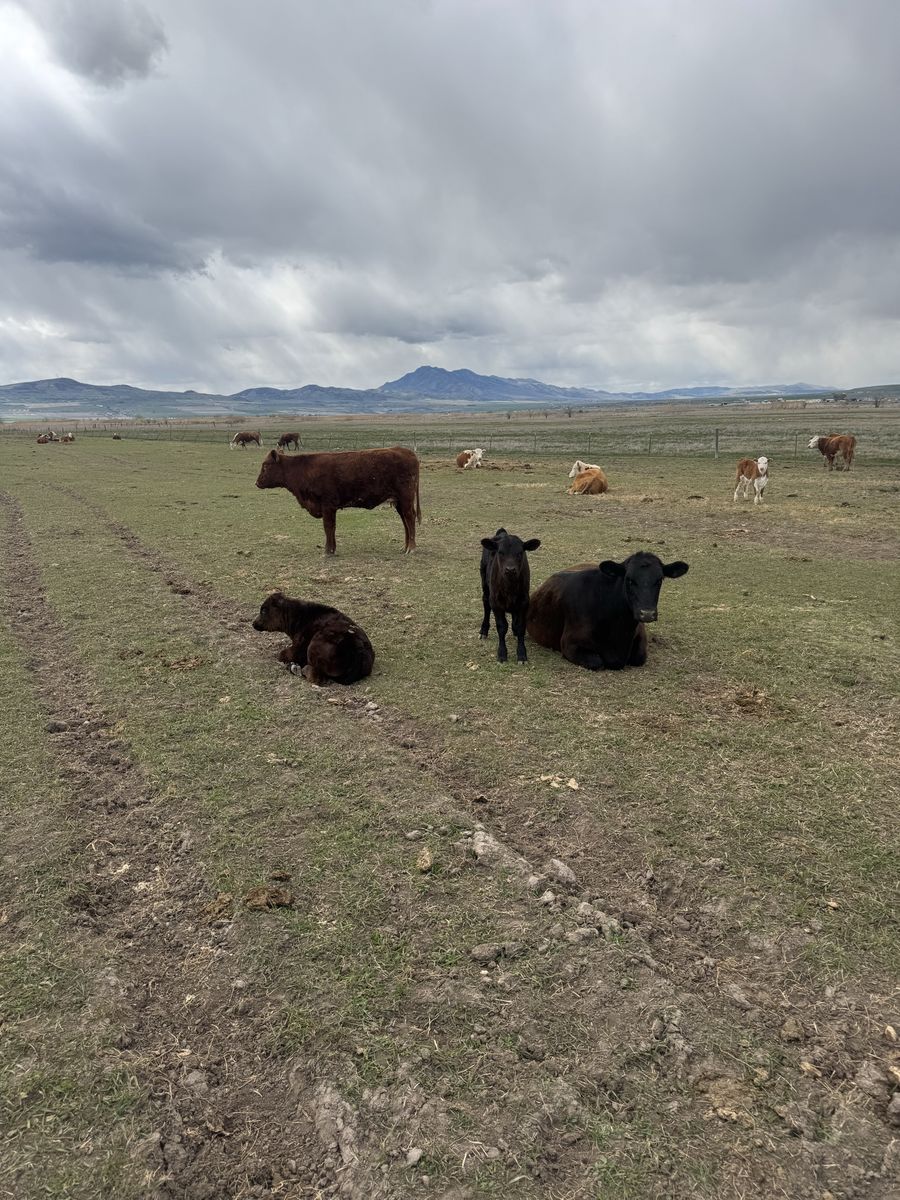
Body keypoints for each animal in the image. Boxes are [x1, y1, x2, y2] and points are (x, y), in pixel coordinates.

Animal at [256, 446, 421, 555]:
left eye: (266, 465)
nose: (257, 483)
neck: (303, 469)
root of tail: (406, 451)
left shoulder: (327, 506)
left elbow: (328, 527)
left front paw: (328, 550)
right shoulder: (330, 508)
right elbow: (332, 528)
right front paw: (332, 548)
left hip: (405, 499)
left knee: (409, 518)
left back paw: (411, 548)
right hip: (399, 502)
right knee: (405, 522)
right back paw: (405, 547)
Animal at [479, 528, 541, 664]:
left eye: (520, 553)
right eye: (500, 552)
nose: (510, 569)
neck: (510, 587)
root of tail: (502, 533)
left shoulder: (524, 601)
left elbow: (521, 626)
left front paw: (522, 654)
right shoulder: (495, 602)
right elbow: (502, 627)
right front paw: (502, 654)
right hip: (485, 584)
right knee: (485, 604)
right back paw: (483, 630)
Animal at [527, 552, 689, 671]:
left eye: (660, 580)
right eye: (629, 579)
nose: (647, 613)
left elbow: (639, 658)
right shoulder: (569, 644)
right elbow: (596, 662)